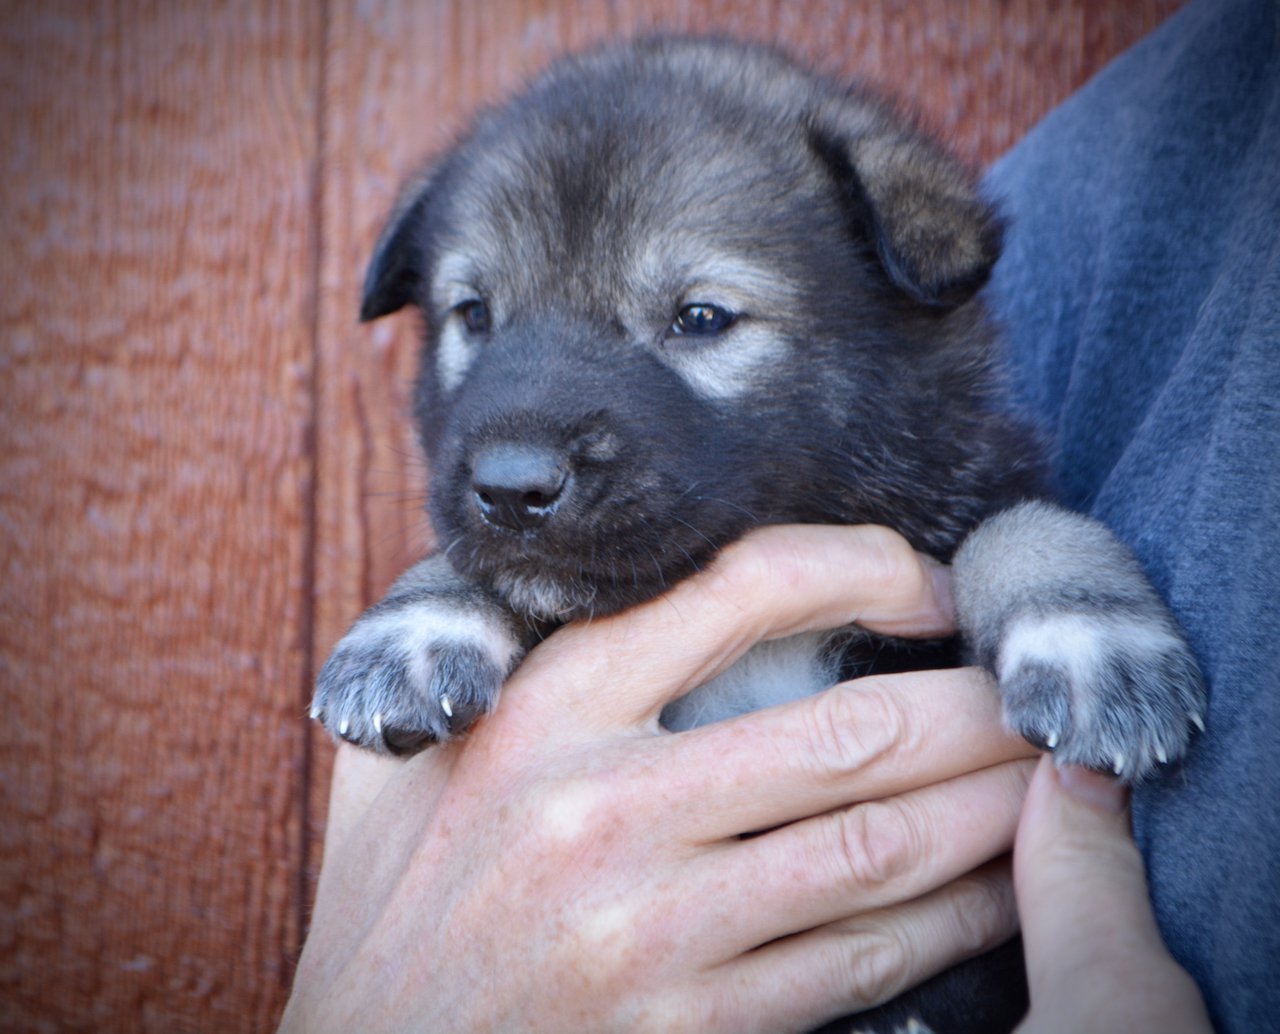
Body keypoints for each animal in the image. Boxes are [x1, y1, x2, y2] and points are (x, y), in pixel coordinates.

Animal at [314, 36, 1203, 1034]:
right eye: (474, 315)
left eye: (700, 317)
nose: (509, 488)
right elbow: (472, 562)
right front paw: (418, 623)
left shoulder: (977, 480)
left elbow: (1022, 521)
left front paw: (1088, 637)